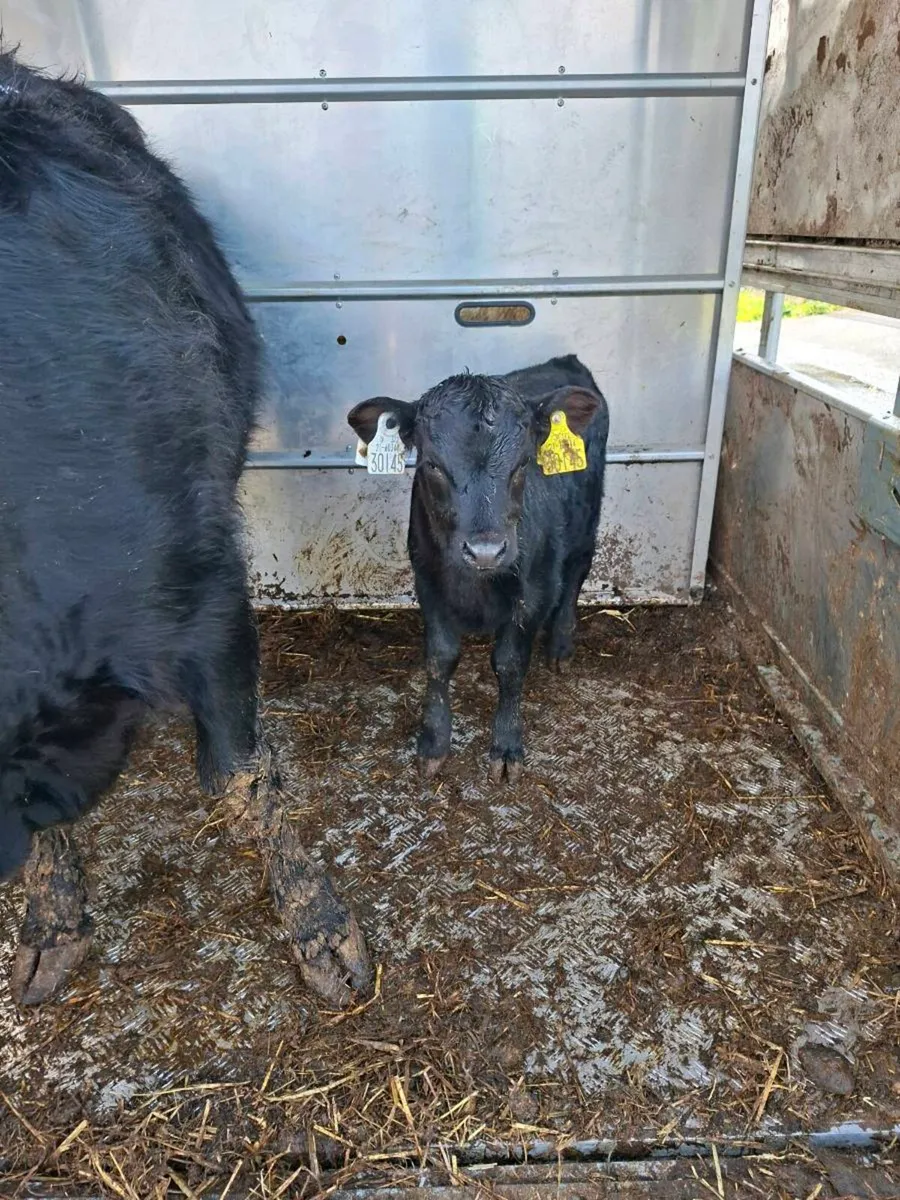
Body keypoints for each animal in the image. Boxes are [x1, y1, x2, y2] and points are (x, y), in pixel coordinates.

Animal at [348, 355, 609, 782]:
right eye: (432, 466)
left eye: (523, 463)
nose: (485, 551)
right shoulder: (427, 579)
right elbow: (440, 658)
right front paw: (434, 741)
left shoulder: (534, 590)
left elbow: (510, 664)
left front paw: (506, 744)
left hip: (587, 520)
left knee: (576, 573)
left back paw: (560, 645)